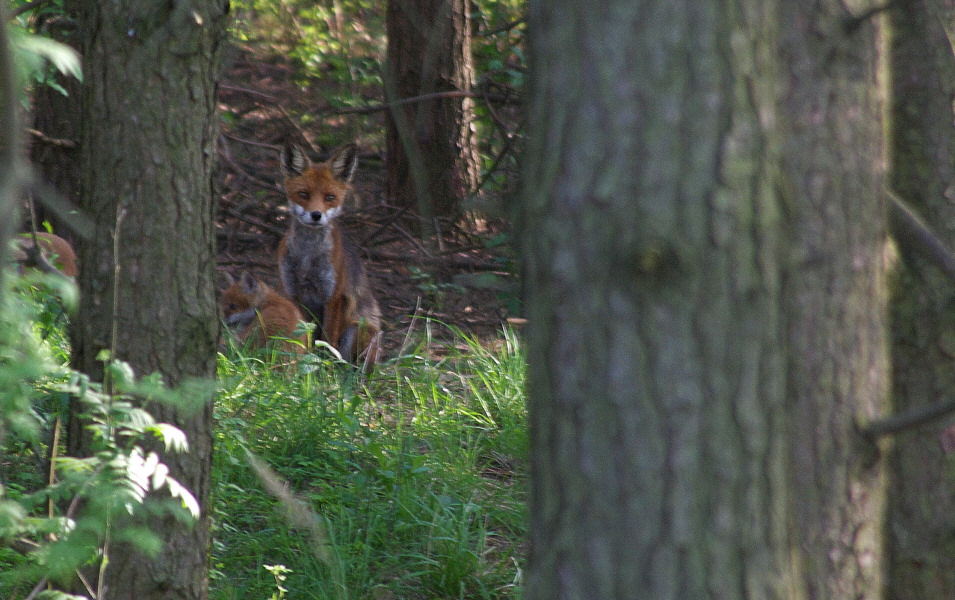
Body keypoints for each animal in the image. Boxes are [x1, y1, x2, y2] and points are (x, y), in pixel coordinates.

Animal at [276, 143, 380, 364]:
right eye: (304, 194)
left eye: (329, 197)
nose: (316, 215)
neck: (307, 259)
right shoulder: (292, 292)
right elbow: (301, 336)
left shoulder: (333, 295)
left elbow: (329, 341)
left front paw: (325, 369)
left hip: (358, 330)